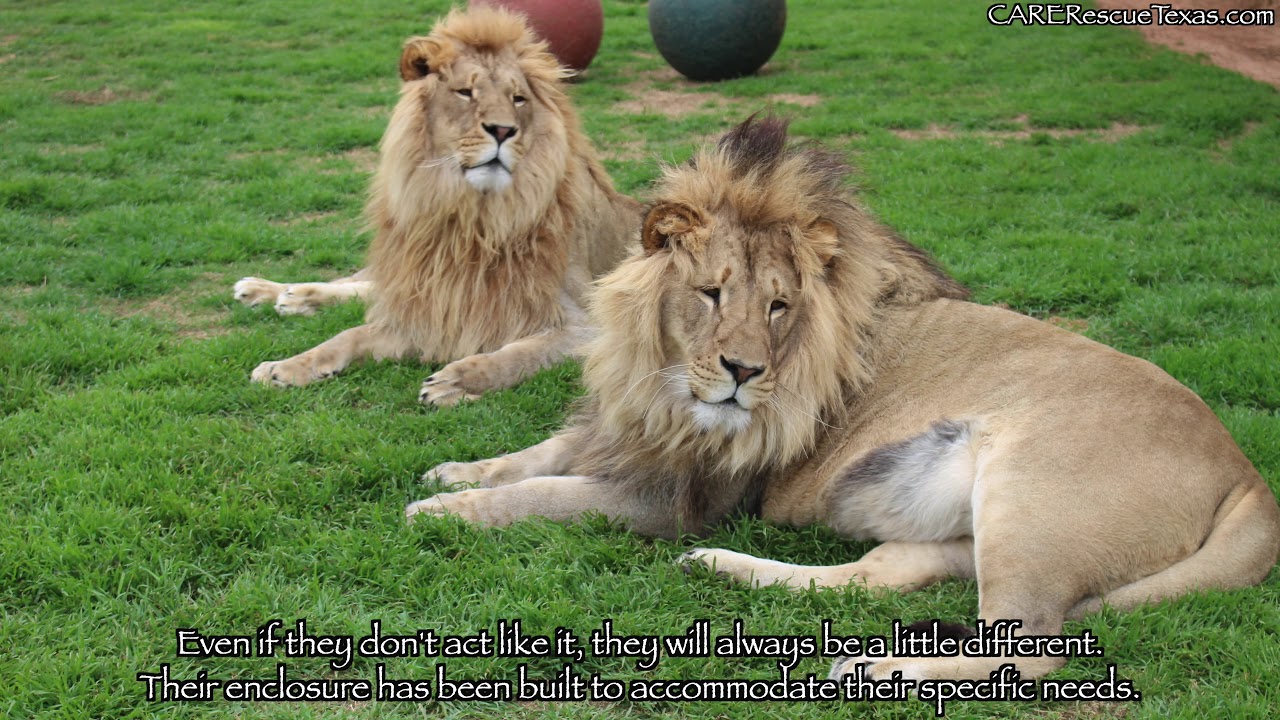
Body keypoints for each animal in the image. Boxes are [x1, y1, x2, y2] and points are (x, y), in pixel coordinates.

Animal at [233, 7, 639, 405]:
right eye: (465, 93)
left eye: (518, 99)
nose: (503, 130)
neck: (475, 217)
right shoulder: (431, 304)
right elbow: (349, 335)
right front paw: (285, 366)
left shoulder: (586, 326)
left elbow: (518, 354)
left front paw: (457, 381)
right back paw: (269, 290)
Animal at [405, 116, 1280, 681]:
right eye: (711, 292)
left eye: (779, 306)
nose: (741, 371)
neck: (665, 381)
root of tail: (1246, 470)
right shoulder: (631, 430)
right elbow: (537, 455)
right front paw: (457, 471)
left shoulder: (678, 499)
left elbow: (547, 495)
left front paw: (441, 511)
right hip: (965, 526)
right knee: (880, 576)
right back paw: (724, 571)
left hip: (1029, 495)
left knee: (1030, 646)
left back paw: (868, 666)